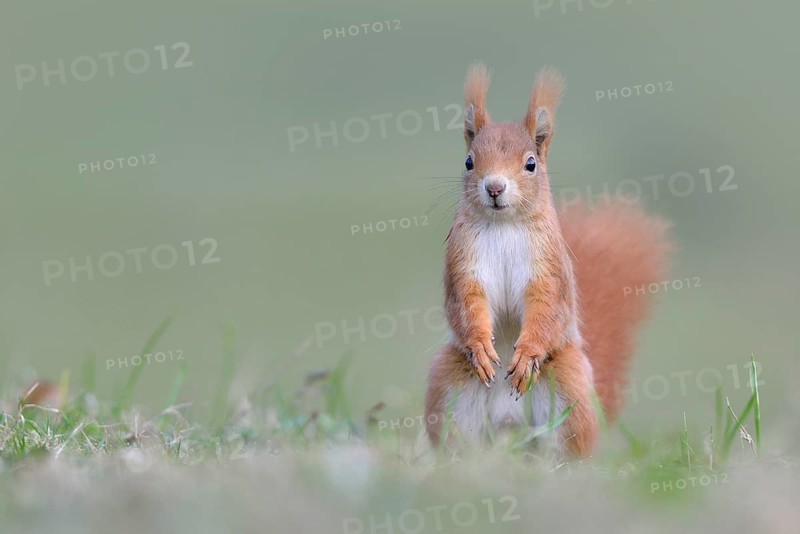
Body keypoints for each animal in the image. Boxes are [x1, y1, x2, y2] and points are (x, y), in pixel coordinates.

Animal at [424, 63, 672, 458]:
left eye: (531, 164)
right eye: (468, 161)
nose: (494, 187)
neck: (505, 226)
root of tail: (508, 427)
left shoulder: (548, 266)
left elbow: (547, 308)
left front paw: (527, 354)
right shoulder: (463, 263)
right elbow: (466, 302)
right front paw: (480, 347)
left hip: (567, 388)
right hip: (450, 388)